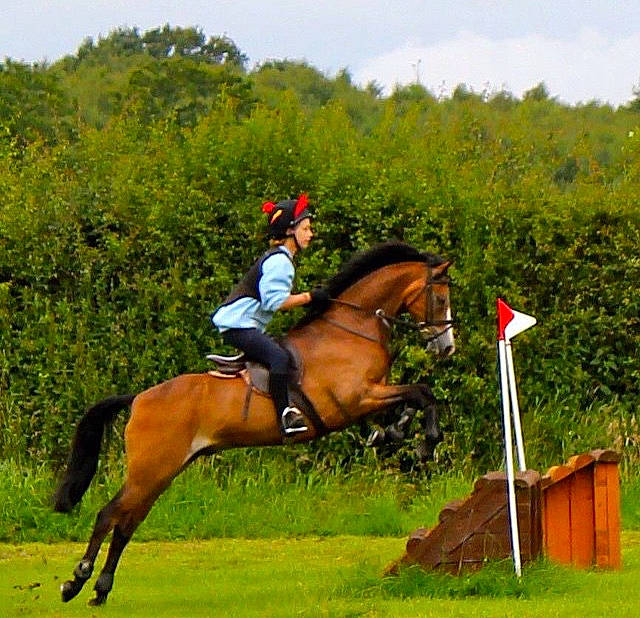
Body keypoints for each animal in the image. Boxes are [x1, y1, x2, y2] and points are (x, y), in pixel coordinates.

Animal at [53, 241, 455, 605]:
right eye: (440, 299)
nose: (447, 347)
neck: (352, 326)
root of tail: (138, 399)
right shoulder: (358, 397)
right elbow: (421, 392)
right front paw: (427, 440)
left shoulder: (372, 394)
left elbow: (414, 396)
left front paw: (397, 431)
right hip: (149, 470)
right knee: (109, 515)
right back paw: (76, 581)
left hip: (161, 472)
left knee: (127, 524)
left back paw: (101, 590)